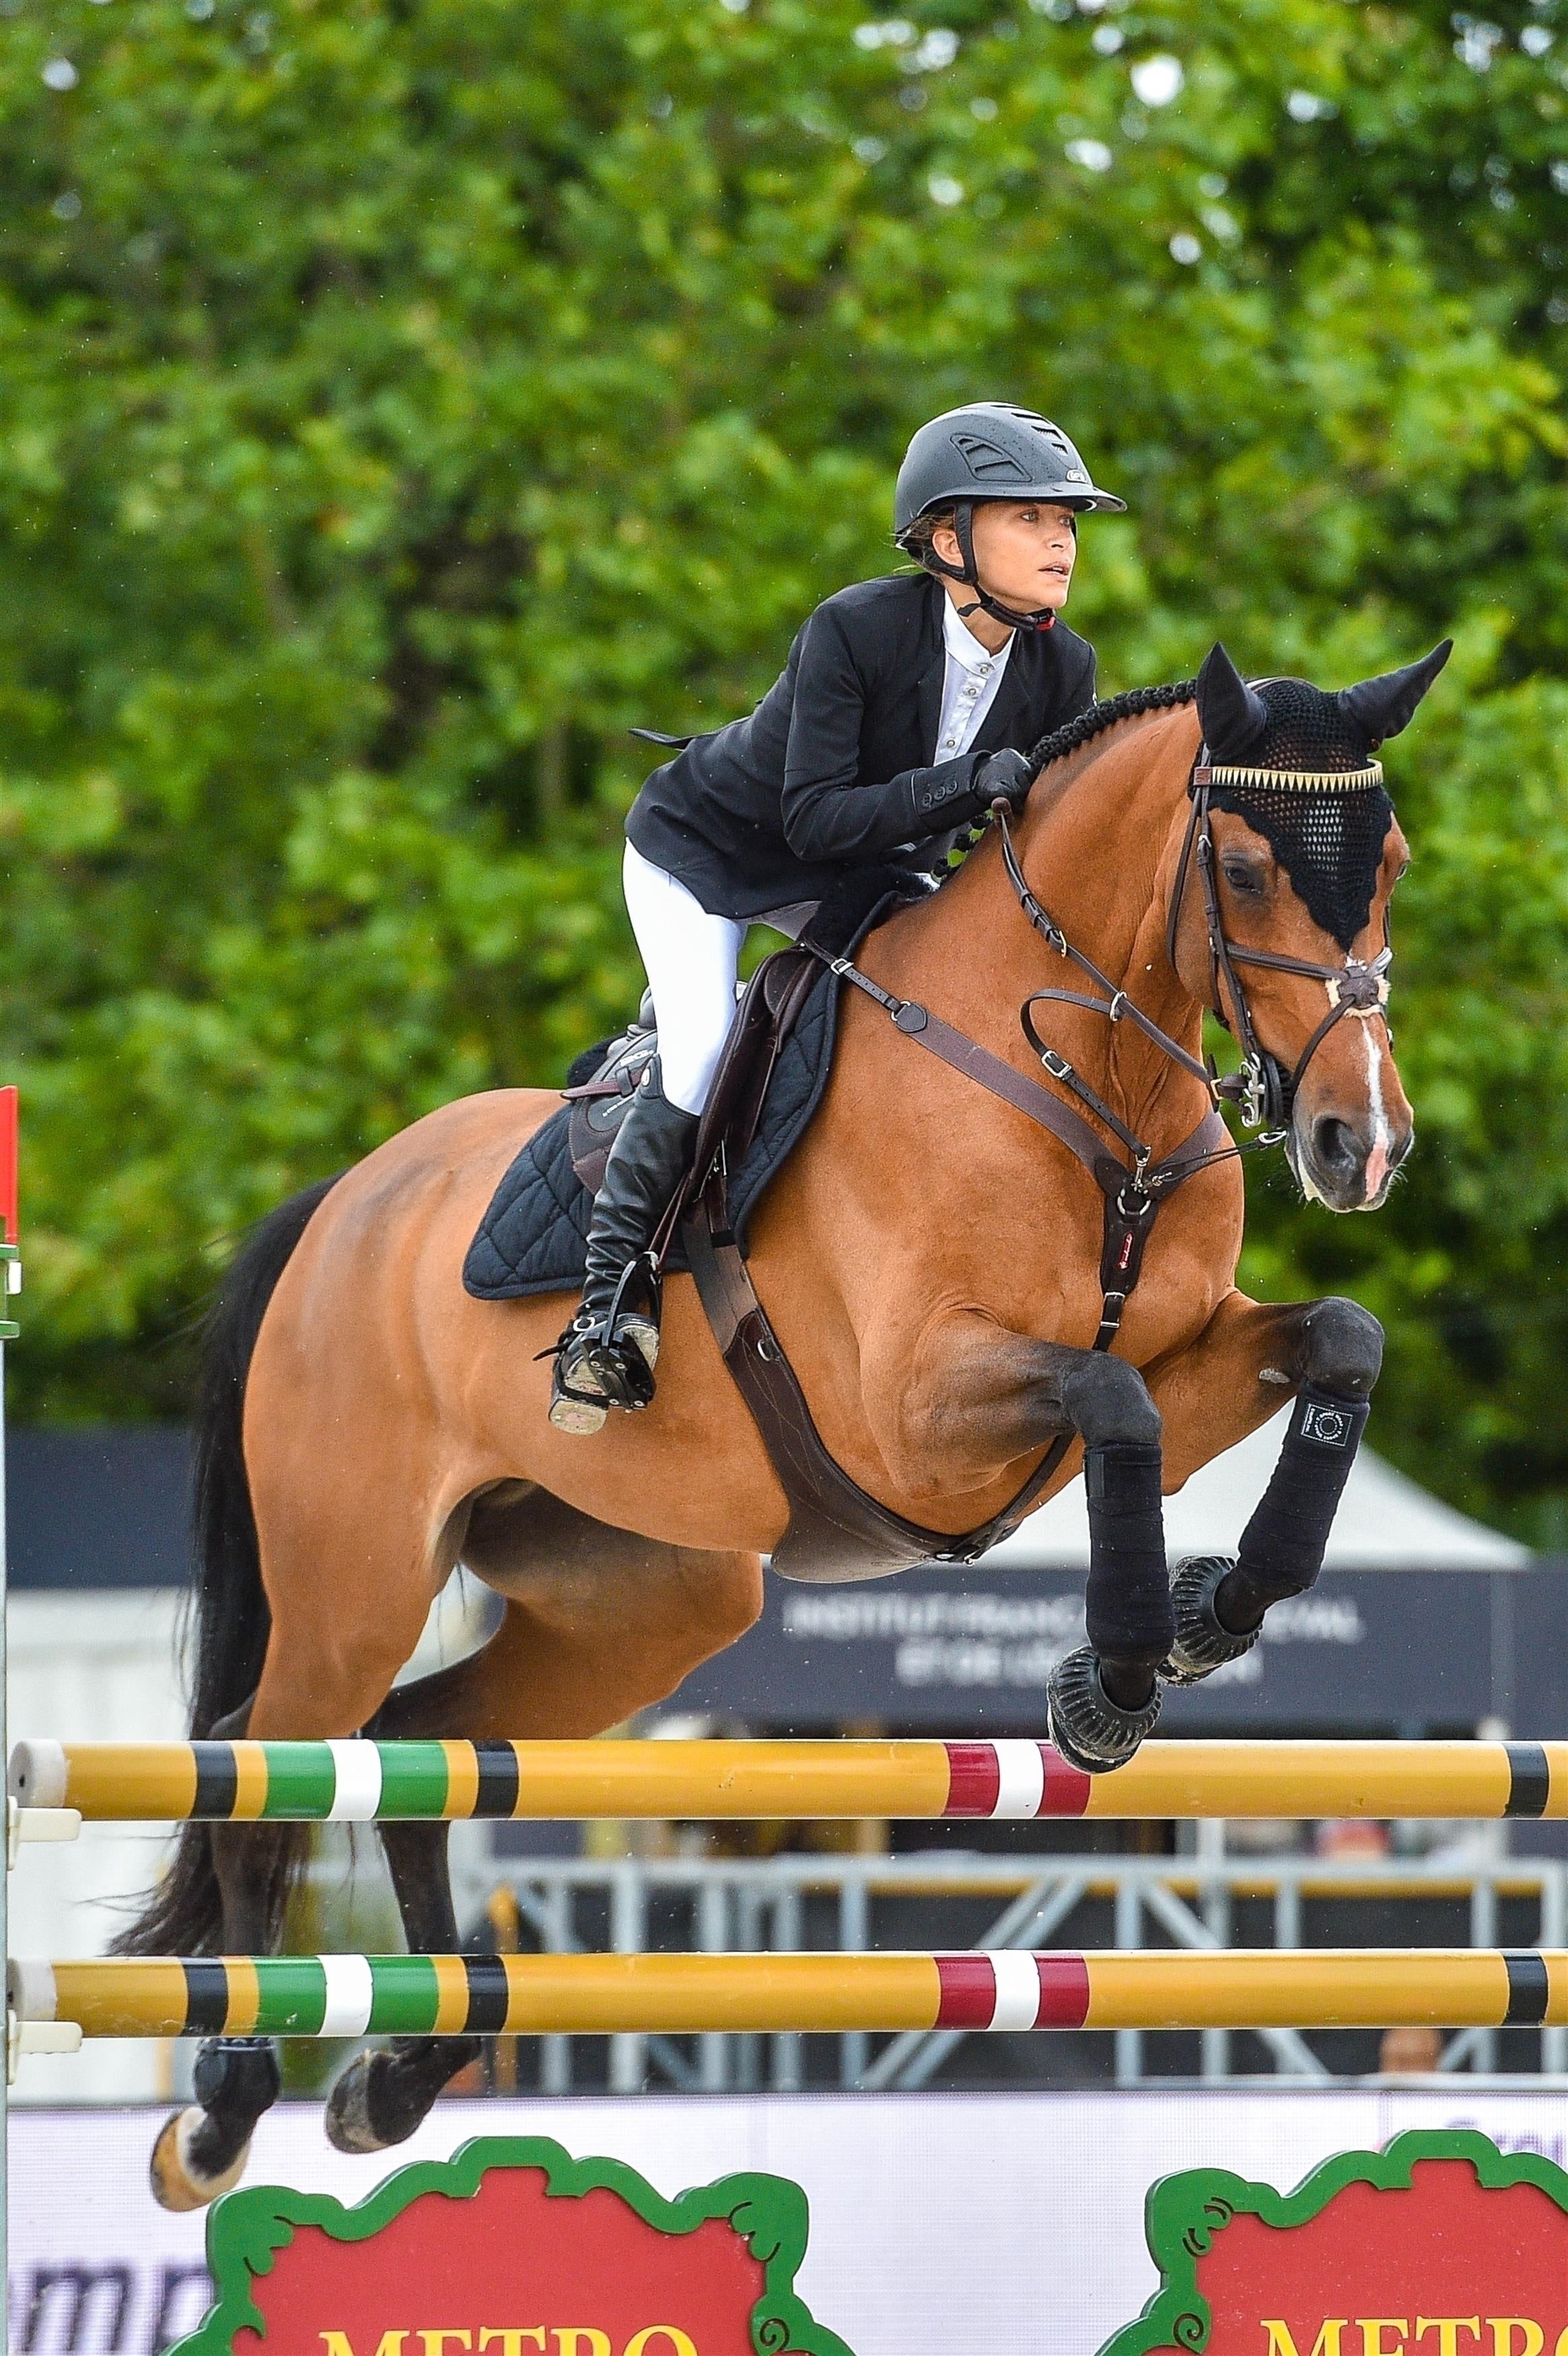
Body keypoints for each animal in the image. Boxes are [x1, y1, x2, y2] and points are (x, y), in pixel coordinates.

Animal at [122, 636, 1441, 2196]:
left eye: (1391, 862)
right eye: (1241, 869)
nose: (1360, 1143)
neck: (1076, 1078)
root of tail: (343, 1205)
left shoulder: (1184, 1365)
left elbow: (1337, 1343)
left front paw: (1204, 1617)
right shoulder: (917, 1413)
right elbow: (1109, 1396)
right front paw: (1111, 1683)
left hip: (646, 1598)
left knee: (421, 1739)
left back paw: (406, 2071)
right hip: (354, 1580)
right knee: (266, 1763)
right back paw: (222, 2109)